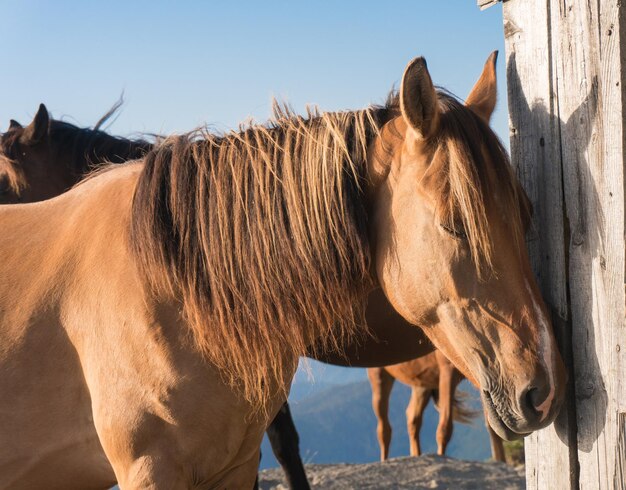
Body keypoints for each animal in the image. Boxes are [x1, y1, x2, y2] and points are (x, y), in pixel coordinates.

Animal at [0, 55, 564, 488]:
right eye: (454, 224)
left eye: (528, 215)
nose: (544, 388)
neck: (171, 287)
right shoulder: (153, 469)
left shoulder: (233, 464)